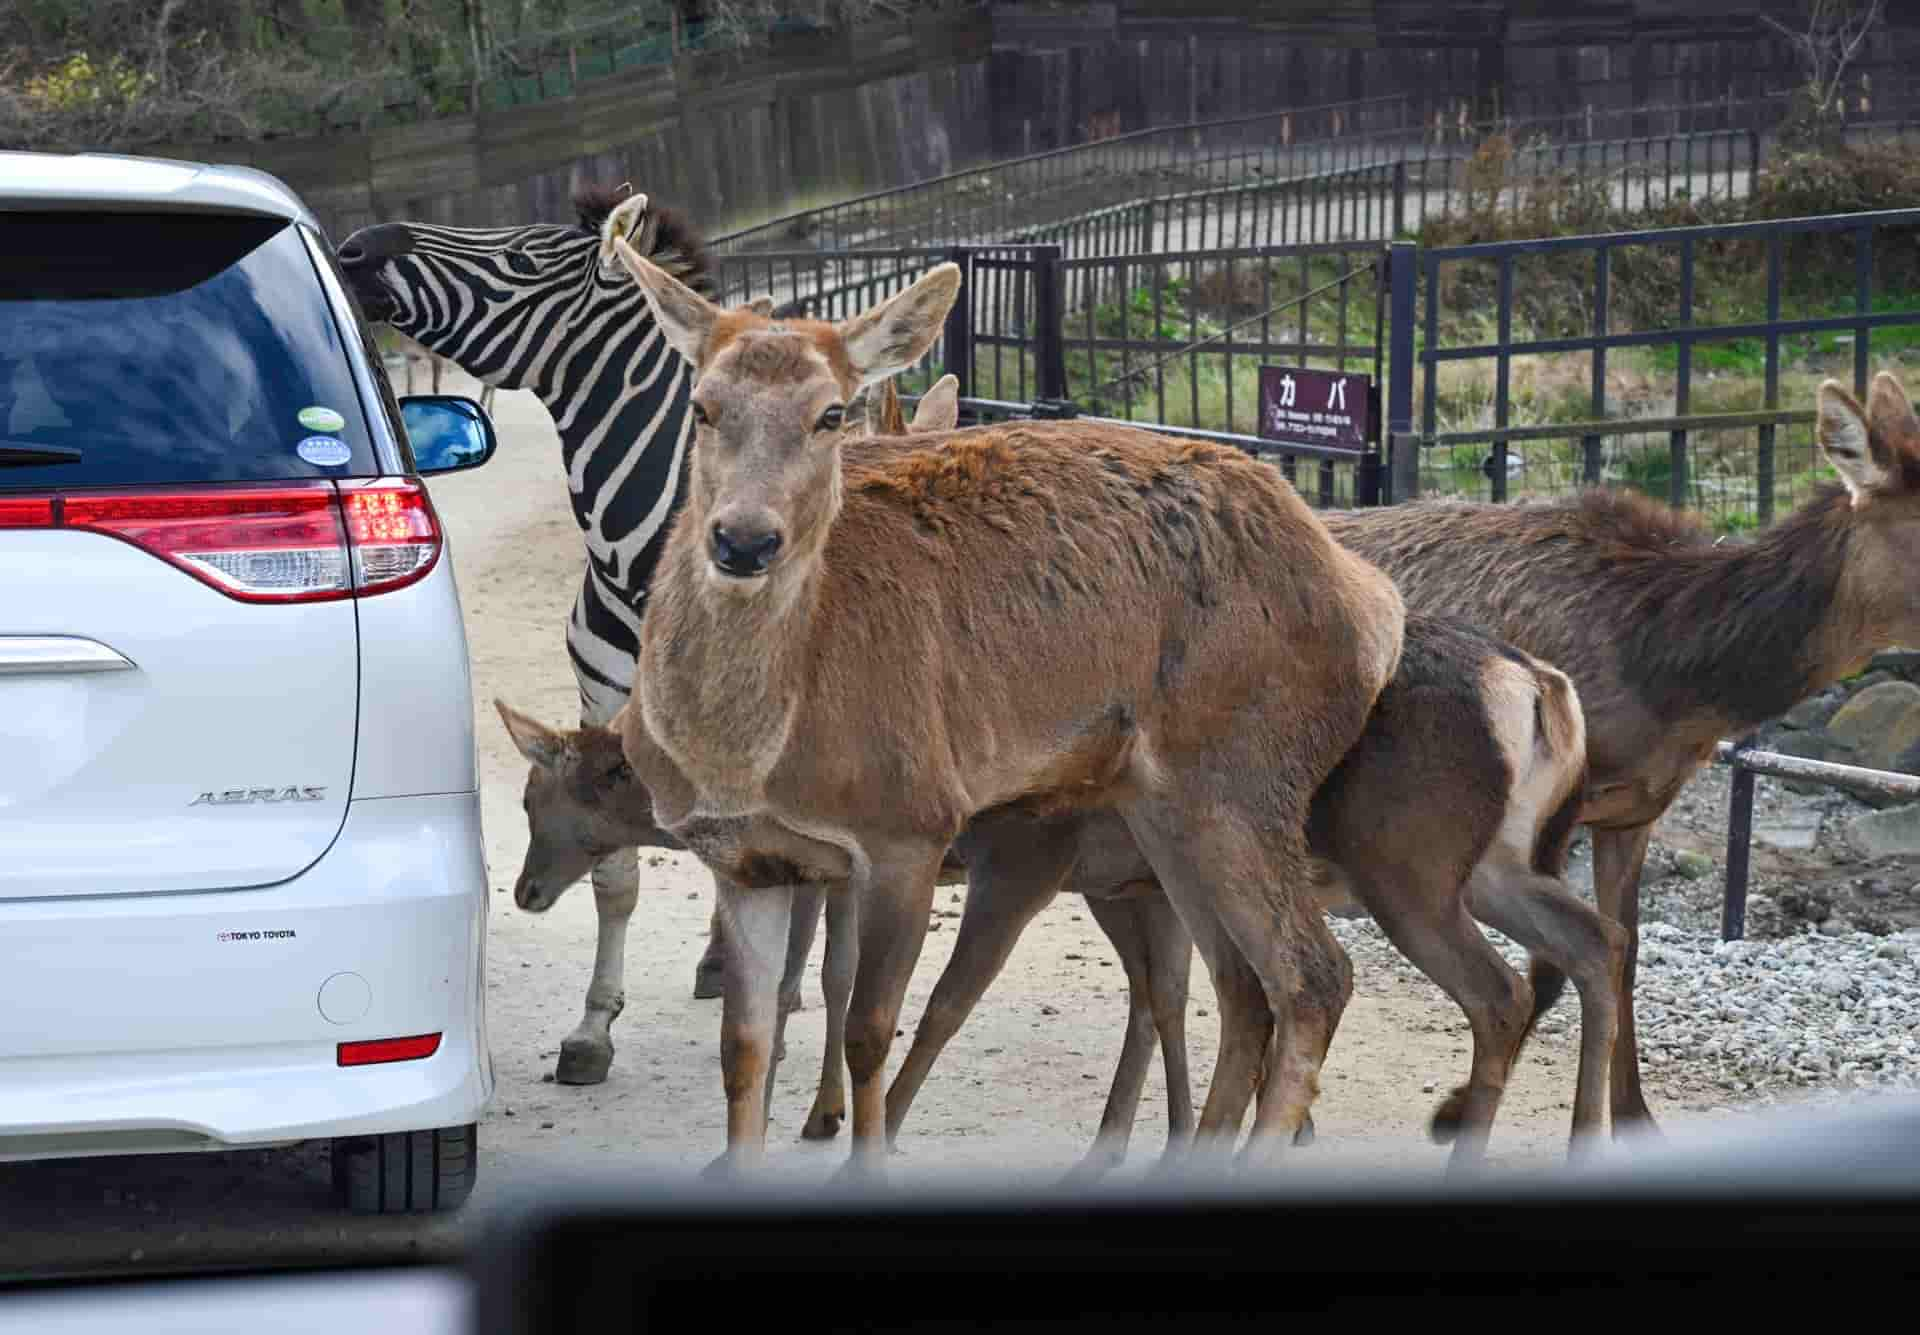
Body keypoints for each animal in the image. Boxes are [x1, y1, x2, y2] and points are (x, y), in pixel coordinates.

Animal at [334, 185, 744, 1083]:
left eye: (522, 258)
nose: (354, 247)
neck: (637, 557)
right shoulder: (603, 702)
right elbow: (613, 870)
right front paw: (592, 1030)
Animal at [591, 247, 1405, 1167]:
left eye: (831, 412)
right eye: (702, 405)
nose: (743, 539)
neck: (750, 760)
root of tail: (1374, 603)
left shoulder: (908, 824)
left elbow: (872, 1028)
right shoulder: (742, 858)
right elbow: (745, 1046)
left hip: (1244, 774)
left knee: (1312, 975)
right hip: (1165, 808)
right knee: (1241, 986)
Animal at [1320, 372, 1920, 1137]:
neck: (1673, 673)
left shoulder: (1634, 813)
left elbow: (1623, 950)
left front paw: (1634, 1115)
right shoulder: (1559, 814)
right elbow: (1551, 970)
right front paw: (1457, 1107)